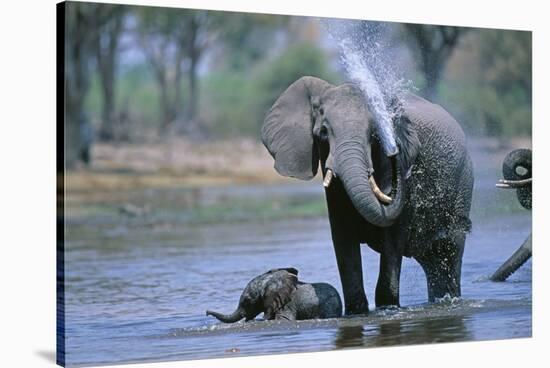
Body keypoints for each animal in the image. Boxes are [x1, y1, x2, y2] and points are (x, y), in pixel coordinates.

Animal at [262, 76, 474, 314]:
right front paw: (356, 311)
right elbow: (343, 239)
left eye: (374, 135)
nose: (395, 152)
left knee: (448, 251)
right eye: (323, 133)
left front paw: (388, 308)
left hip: (463, 184)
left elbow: (393, 238)